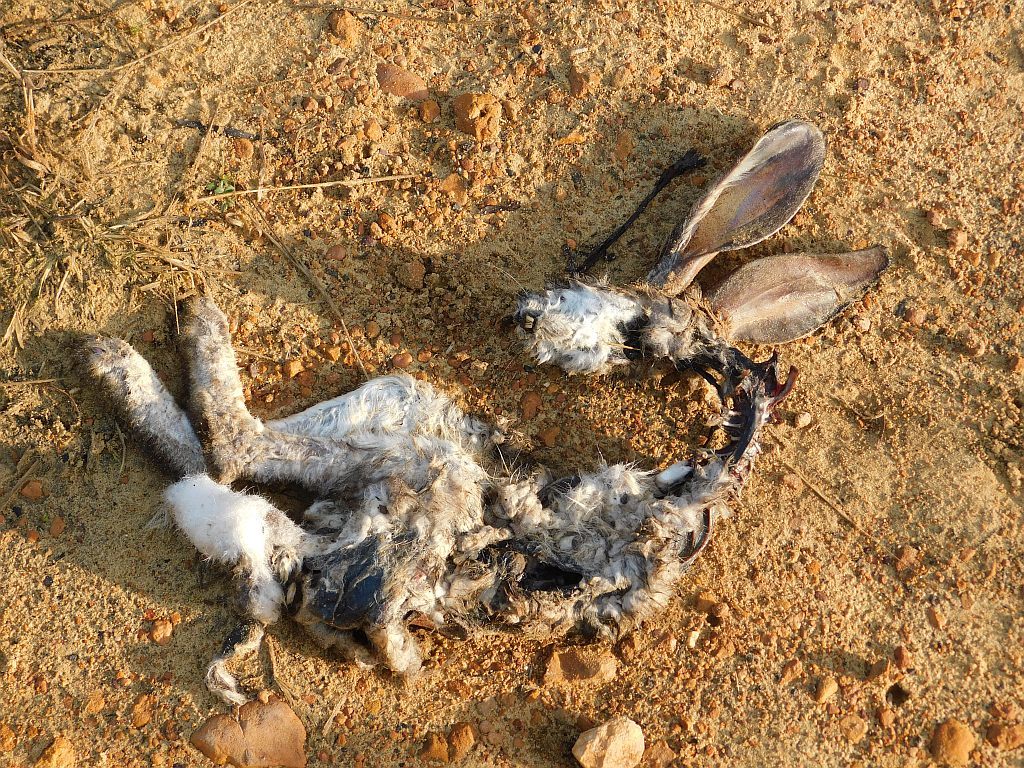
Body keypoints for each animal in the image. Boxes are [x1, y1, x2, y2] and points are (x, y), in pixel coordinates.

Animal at [83, 120, 886, 707]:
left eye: (623, 313)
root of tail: (298, 573)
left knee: (232, 447)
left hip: (406, 422)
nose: (522, 313)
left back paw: (145, 343)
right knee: (222, 468)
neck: (699, 488)